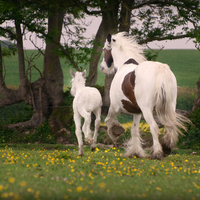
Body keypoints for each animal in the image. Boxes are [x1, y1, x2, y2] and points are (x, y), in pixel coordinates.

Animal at [100, 33, 191, 161]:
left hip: (147, 110)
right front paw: (135, 152)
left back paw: (157, 153)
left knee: (154, 127)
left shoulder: (115, 107)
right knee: (170, 127)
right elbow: (134, 130)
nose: (102, 67)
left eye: (104, 49)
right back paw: (166, 149)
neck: (124, 65)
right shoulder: (137, 112)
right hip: (170, 107)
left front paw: (115, 132)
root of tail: (160, 70)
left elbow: (108, 121)